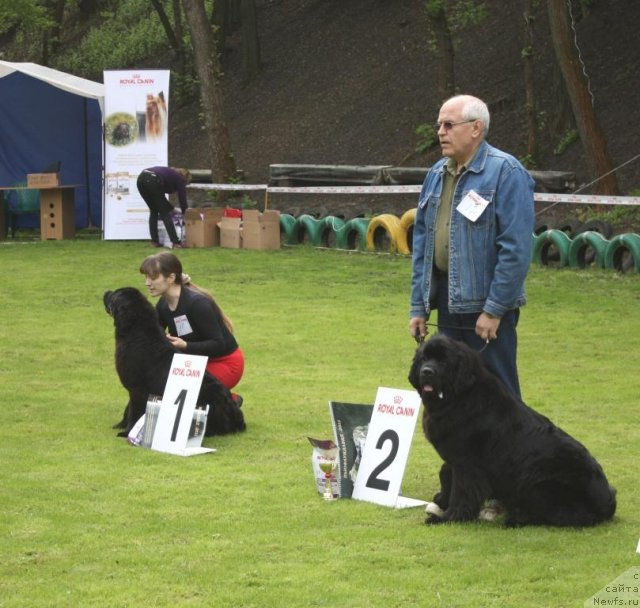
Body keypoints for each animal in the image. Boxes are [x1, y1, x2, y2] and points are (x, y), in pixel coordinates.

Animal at [104, 288, 246, 440]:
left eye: (114, 295)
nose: (107, 291)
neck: (135, 332)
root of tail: (233, 410)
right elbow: (128, 408)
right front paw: (121, 424)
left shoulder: (137, 388)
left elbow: (134, 411)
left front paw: (127, 432)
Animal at [410, 332, 616, 528]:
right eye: (424, 358)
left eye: (443, 361)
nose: (426, 371)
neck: (459, 396)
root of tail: (609, 502)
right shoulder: (455, 455)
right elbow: (445, 474)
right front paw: (441, 501)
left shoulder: (467, 462)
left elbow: (462, 491)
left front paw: (448, 518)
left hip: (537, 484)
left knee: (566, 516)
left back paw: (515, 519)